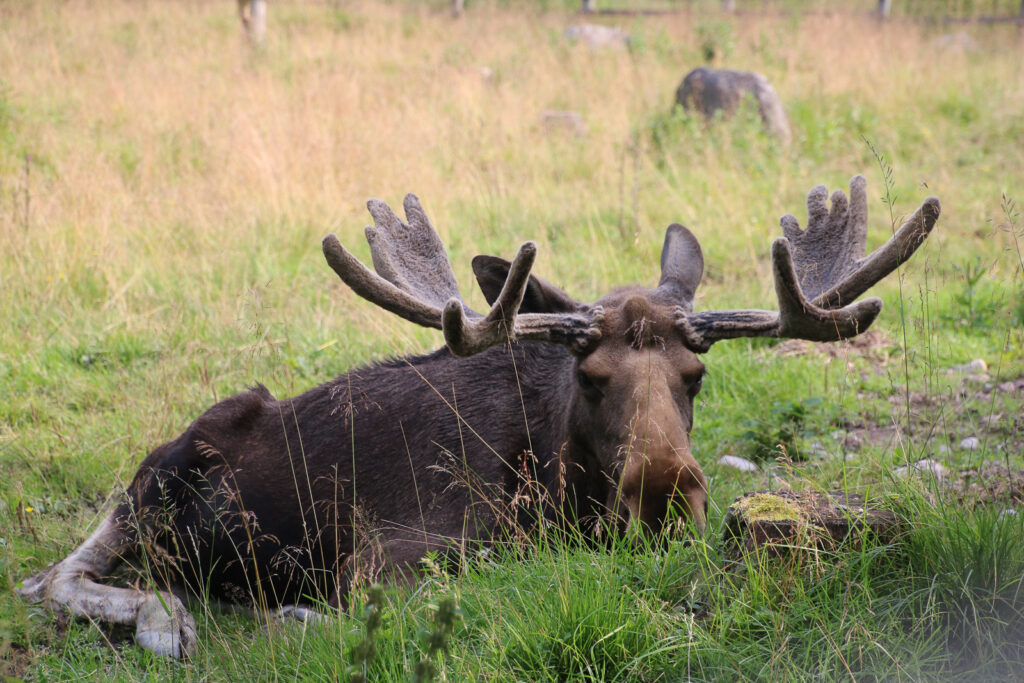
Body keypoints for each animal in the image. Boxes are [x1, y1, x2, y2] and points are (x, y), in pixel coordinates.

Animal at [17, 175, 940, 658]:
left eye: (698, 374)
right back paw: (162, 617)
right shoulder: (390, 551)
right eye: (590, 373)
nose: (664, 496)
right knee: (59, 574)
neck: (559, 494)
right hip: (156, 494)